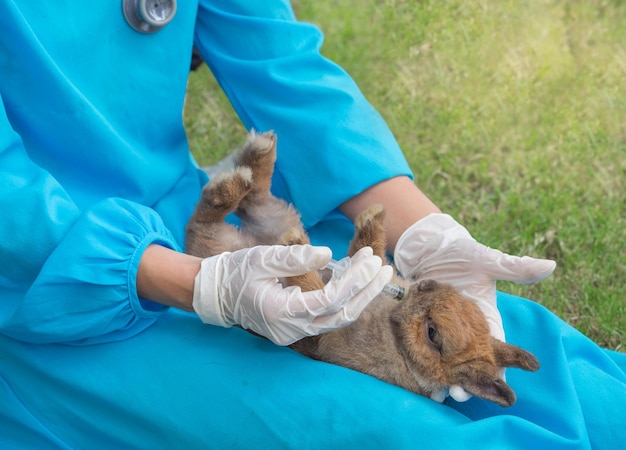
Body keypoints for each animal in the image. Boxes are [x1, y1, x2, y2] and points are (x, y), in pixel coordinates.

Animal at [184, 130, 536, 408]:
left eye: (433, 333)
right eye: (456, 295)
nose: (422, 287)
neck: (397, 338)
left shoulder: (328, 331)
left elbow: (317, 289)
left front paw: (303, 249)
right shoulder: (371, 265)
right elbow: (368, 253)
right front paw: (374, 216)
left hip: (226, 240)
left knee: (210, 216)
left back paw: (256, 198)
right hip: (273, 215)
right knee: (251, 196)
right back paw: (259, 155)